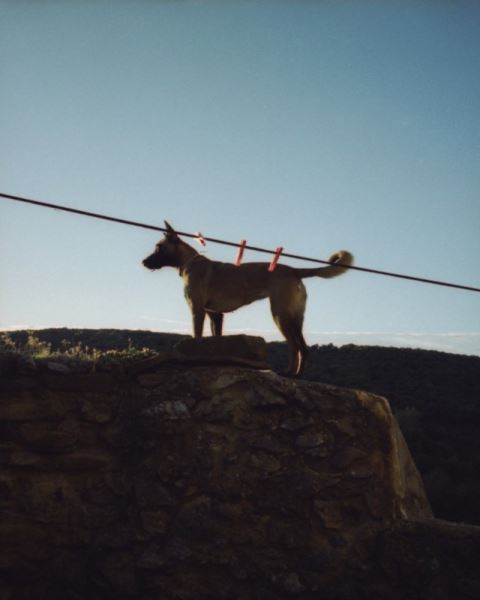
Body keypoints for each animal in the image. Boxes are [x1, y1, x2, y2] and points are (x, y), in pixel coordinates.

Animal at [142, 223, 352, 378]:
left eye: (158, 247)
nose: (143, 262)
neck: (189, 262)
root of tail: (293, 270)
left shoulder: (197, 311)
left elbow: (197, 336)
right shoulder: (215, 315)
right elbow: (215, 337)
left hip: (280, 315)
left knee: (295, 346)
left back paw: (291, 374)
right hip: (295, 318)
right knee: (303, 348)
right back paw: (296, 374)